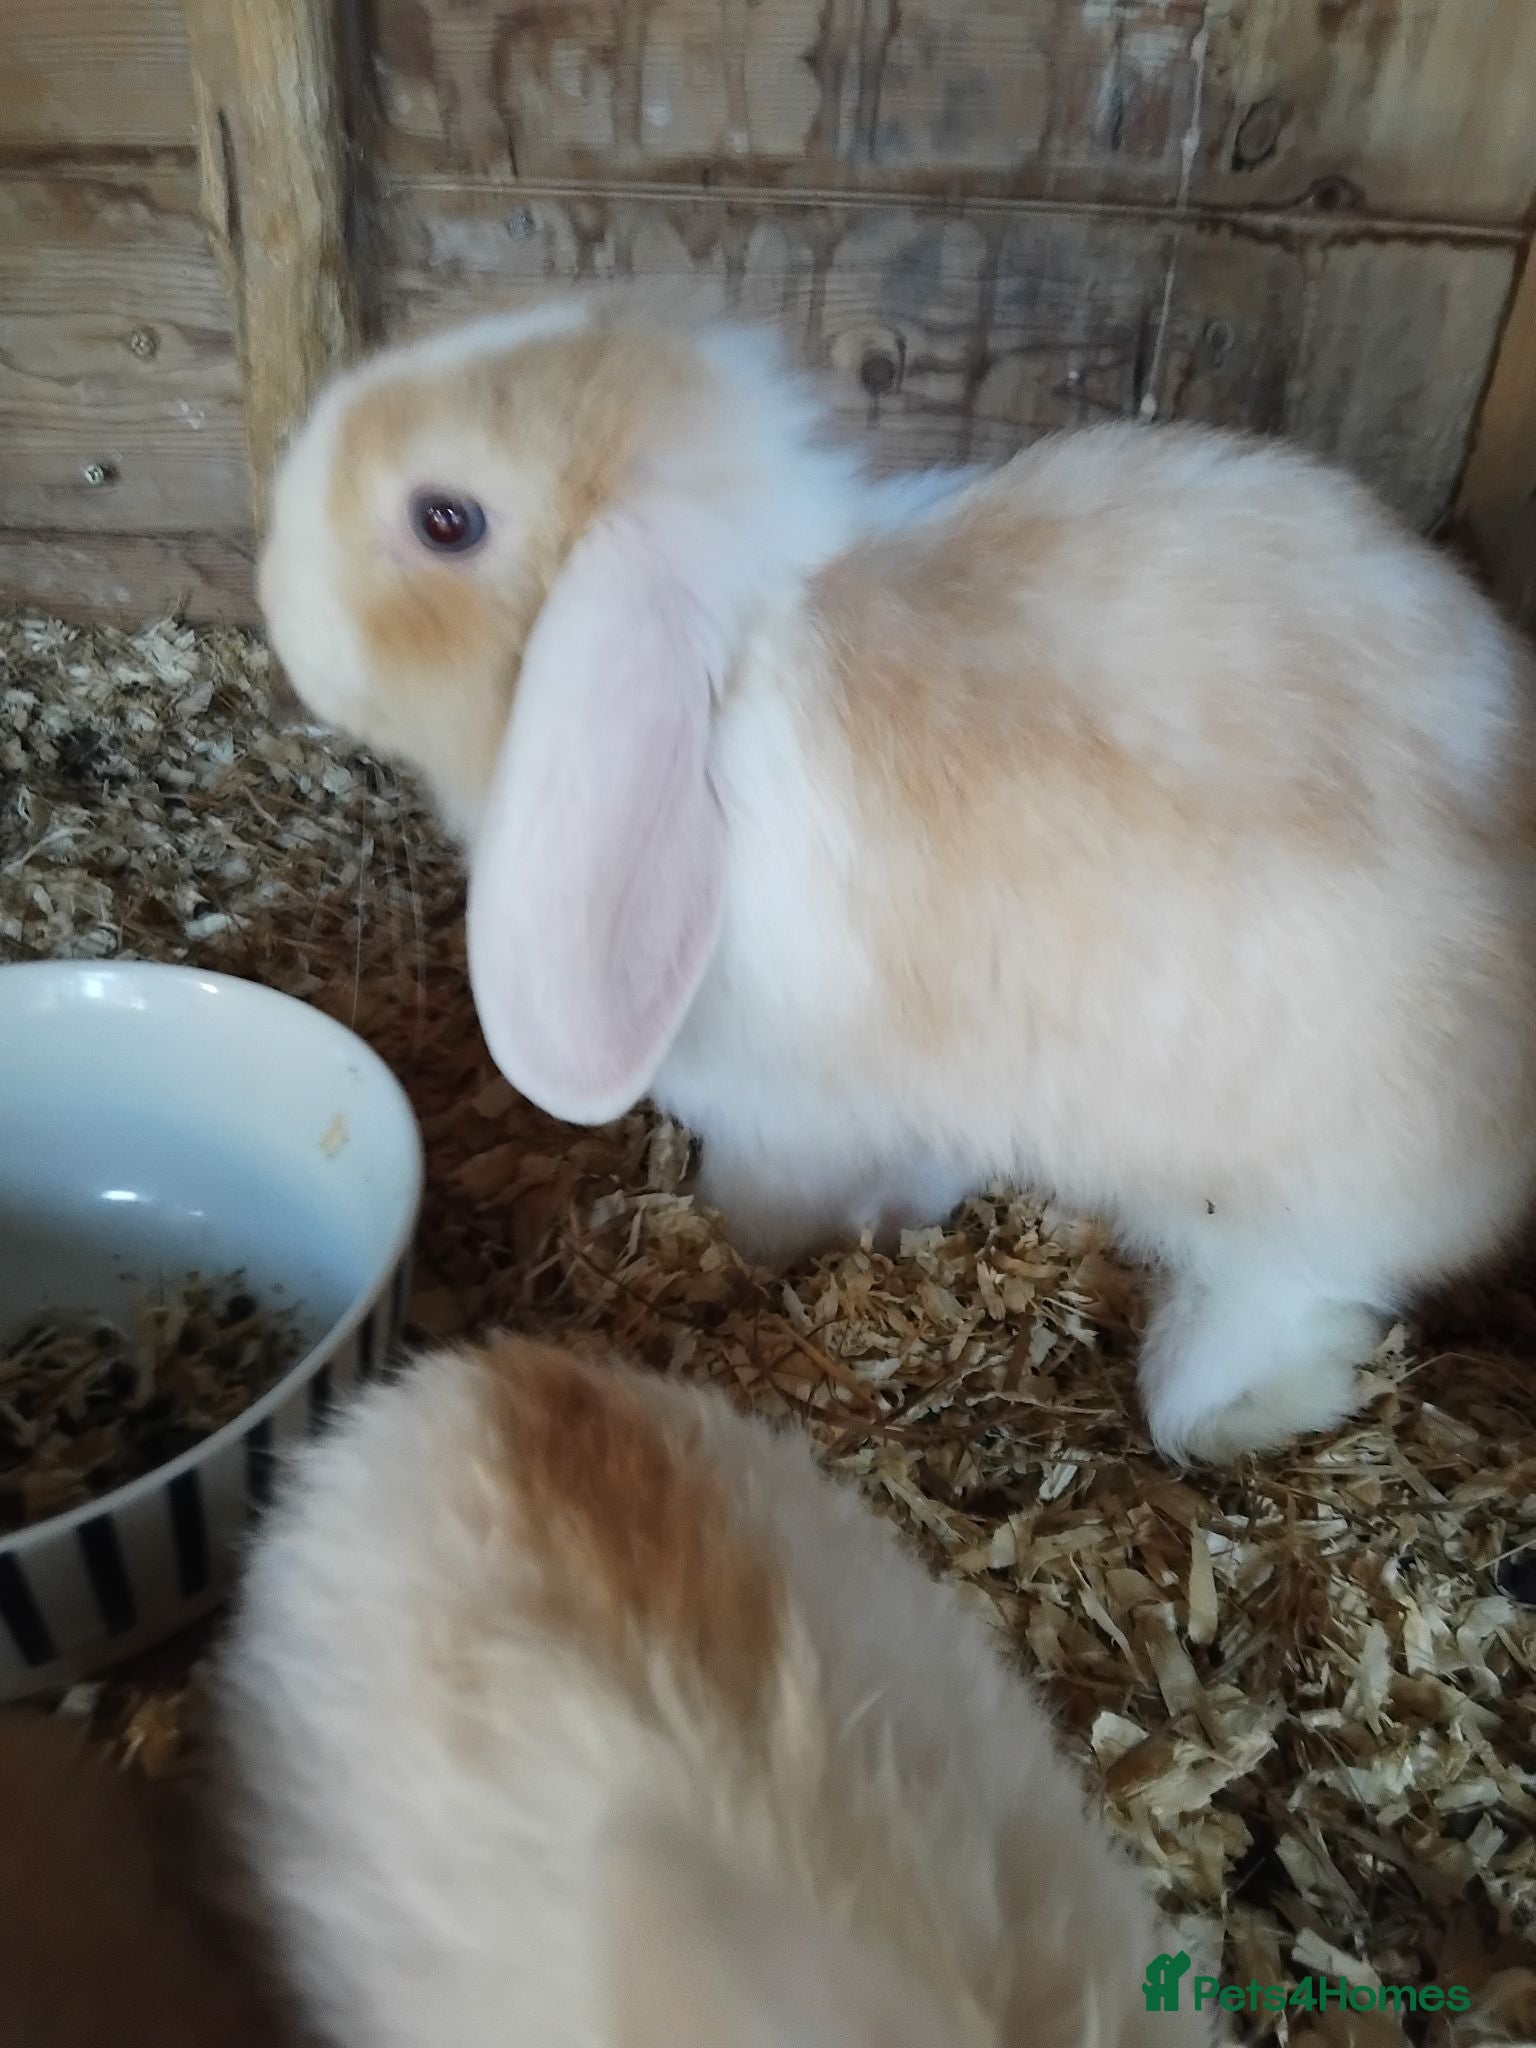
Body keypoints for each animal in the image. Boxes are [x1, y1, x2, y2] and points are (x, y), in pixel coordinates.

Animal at [256, 293, 1536, 1458]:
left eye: (446, 519)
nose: (272, 586)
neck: (721, 689)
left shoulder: (782, 1115)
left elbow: (759, 1204)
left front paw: (737, 1252)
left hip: (1279, 1188)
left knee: (1285, 1301)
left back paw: (1239, 1405)